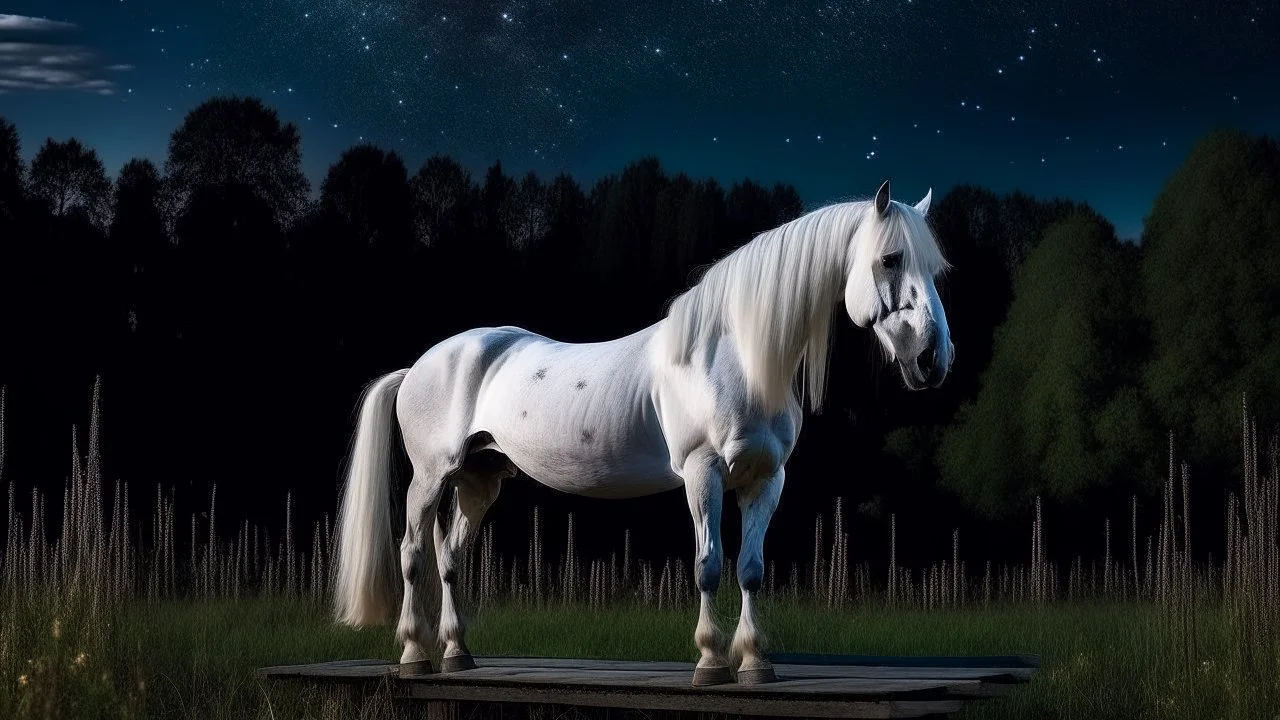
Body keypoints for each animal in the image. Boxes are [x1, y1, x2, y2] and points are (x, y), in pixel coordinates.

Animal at [330, 179, 952, 681]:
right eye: (891, 258)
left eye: (935, 268)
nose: (932, 359)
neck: (735, 358)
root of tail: (421, 364)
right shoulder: (702, 472)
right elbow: (708, 566)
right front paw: (710, 662)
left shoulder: (765, 479)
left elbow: (750, 569)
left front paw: (755, 662)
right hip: (430, 477)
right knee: (413, 554)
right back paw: (414, 654)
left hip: (479, 481)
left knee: (449, 558)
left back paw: (457, 654)